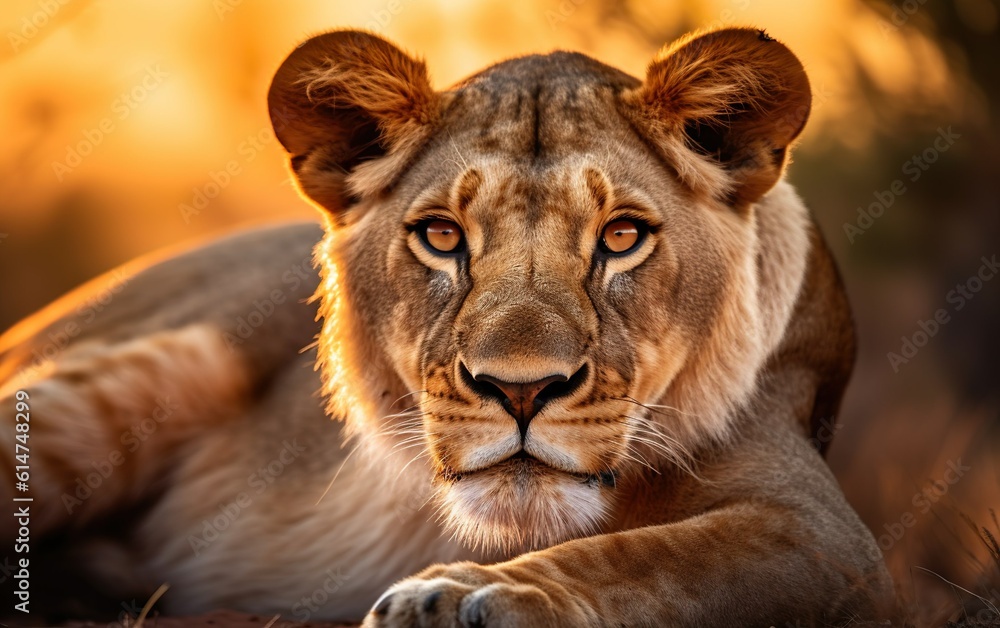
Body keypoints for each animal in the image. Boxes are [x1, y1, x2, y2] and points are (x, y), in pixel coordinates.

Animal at [0, 27, 895, 626]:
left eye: (621, 236)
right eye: (440, 235)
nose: (521, 391)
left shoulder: (823, 536)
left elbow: (656, 555)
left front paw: (472, 593)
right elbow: (655, 554)